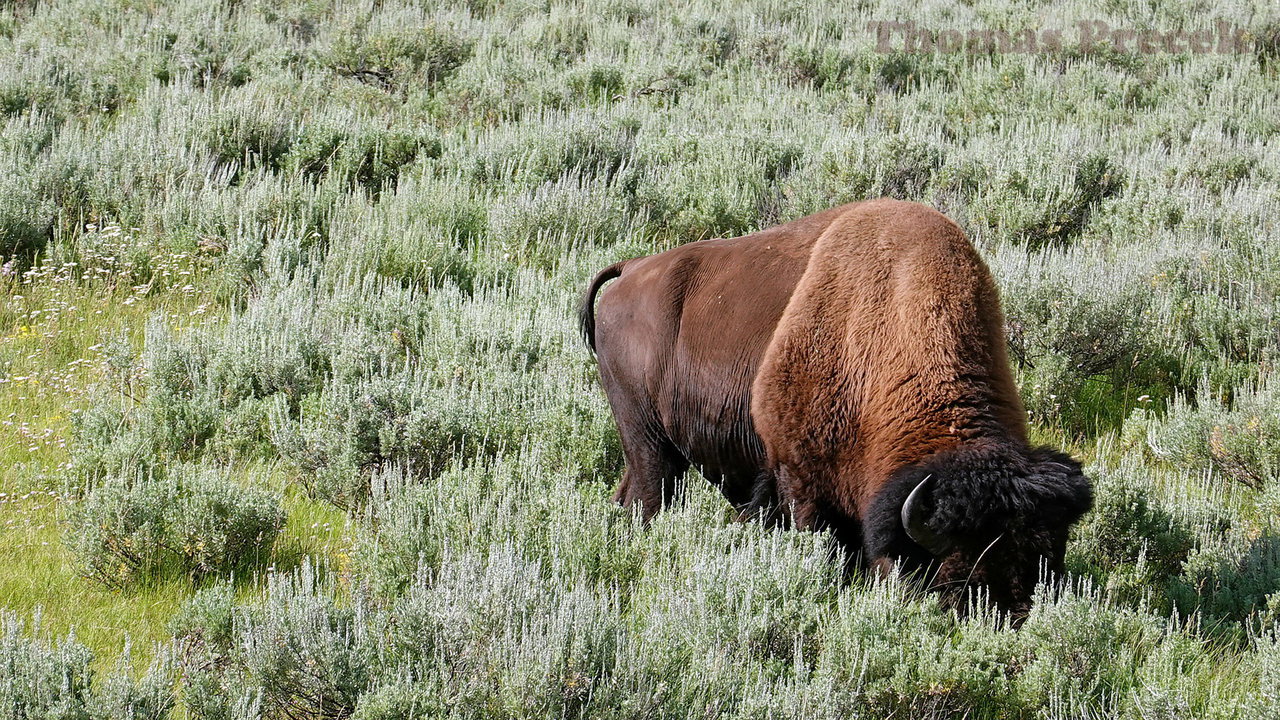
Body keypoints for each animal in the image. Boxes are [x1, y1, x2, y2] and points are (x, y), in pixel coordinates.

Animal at [581, 197, 1090, 617]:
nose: (1013, 618)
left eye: (1048, 563)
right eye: (956, 584)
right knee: (649, 498)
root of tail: (631, 270)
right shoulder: (799, 479)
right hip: (649, 442)